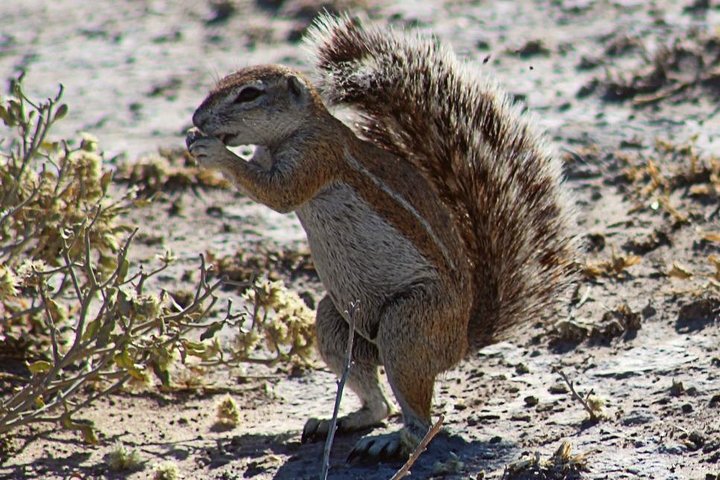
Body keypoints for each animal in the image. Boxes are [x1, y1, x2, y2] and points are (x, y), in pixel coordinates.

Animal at [187, 14, 576, 462]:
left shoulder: (315, 158)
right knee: (377, 401)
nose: (197, 119)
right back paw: (339, 422)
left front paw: (213, 152)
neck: (297, 130)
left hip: (407, 327)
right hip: (336, 322)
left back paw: (391, 441)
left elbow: (277, 194)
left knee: (418, 421)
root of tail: (461, 343)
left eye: (249, 93)